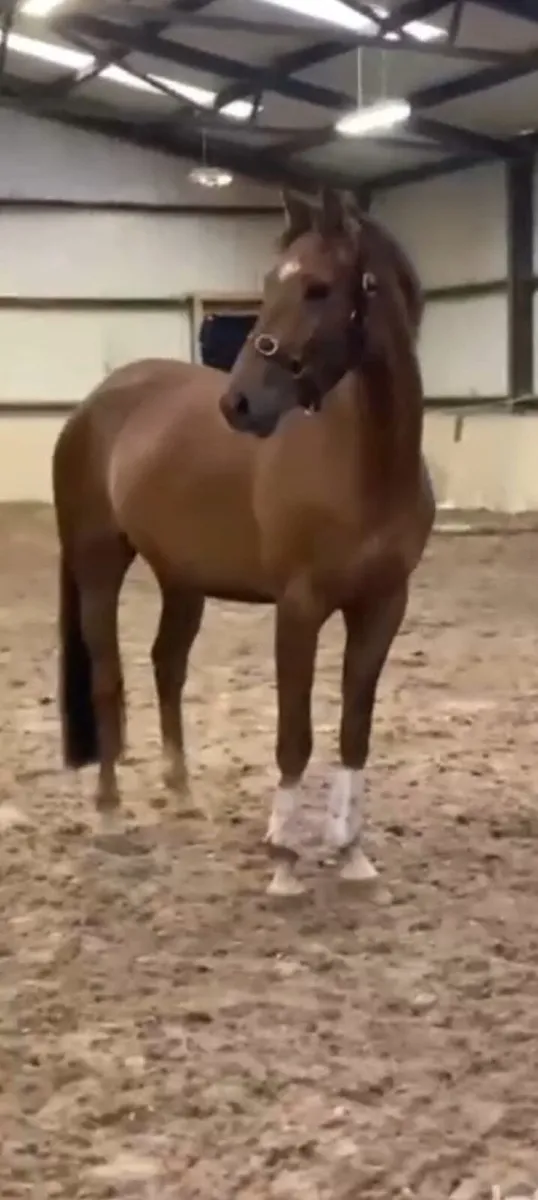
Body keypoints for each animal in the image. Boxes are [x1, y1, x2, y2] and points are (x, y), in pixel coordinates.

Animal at [53, 185, 434, 898]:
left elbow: (354, 732)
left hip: (182, 579)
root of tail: (94, 404)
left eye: (318, 288)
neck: (365, 462)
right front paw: (284, 858)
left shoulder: (382, 607)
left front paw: (352, 855)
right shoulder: (300, 607)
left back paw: (182, 796)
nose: (239, 404)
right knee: (108, 678)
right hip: (97, 563)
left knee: (167, 666)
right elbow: (294, 736)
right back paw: (111, 815)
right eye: (269, 283)